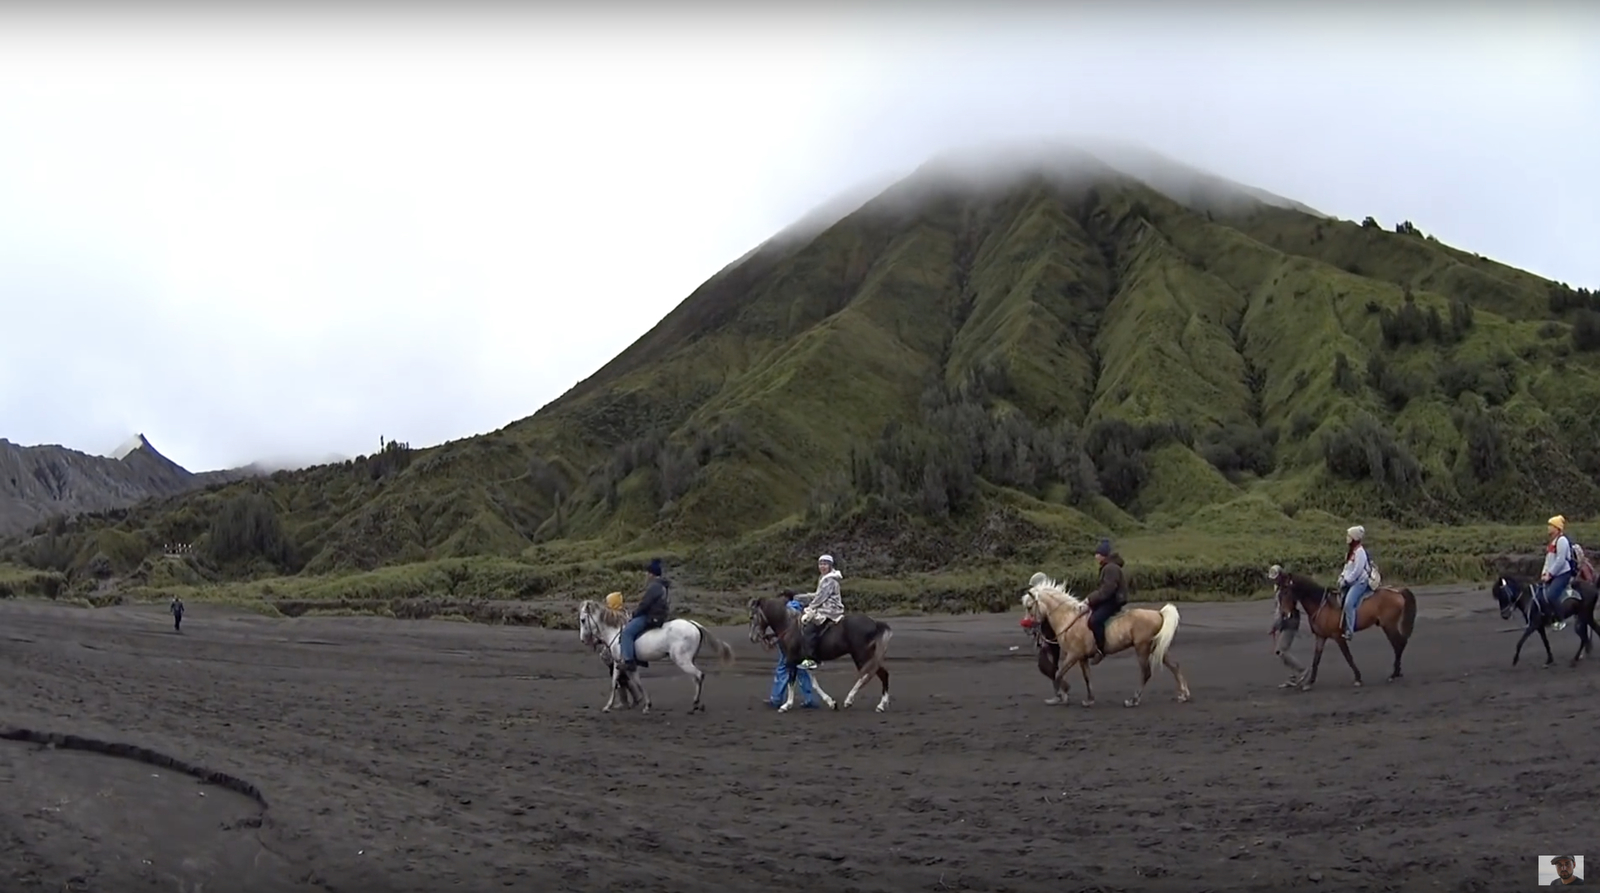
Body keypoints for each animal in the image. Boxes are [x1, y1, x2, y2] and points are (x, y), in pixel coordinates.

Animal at [576, 598, 736, 716]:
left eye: (583, 620)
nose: (583, 640)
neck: (616, 632)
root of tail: (693, 624)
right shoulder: (627, 664)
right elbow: (635, 682)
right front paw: (646, 704)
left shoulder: (619, 662)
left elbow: (615, 682)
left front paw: (608, 706)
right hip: (689, 660)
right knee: (696, 678)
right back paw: (697, 704)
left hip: (682, 660)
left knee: (699, 675)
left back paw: (695, 705)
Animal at [745, 595, 896, 713]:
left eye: (752, 616)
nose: (752, 637)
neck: (789, 626)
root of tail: (874, 623)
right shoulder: (803, 662)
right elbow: (813, 683)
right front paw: (831, 702)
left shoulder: (791, 660)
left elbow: (791, 682)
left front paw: (786, 705)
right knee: (881, 673)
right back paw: (879, 704)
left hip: (861, 656)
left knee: (872, 675)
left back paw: (854, 701)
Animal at [1024, 576, 1190, 710]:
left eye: (1029, 606)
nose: (1027, 628)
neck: (1069, 619)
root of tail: (1158, 613)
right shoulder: (1082, 658)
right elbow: (1087, 677)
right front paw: (1089, 700)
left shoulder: (1073, 655)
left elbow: (1058, 674)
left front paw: (1063, 694)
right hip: (1157, 648)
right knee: (1174, 666)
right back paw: (1184, 695)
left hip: (1142, 648)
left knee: (1146, 673)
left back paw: (1133, 700)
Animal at [1267, 569, 1420, 688]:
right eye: (1279, 593)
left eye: (1286, 591)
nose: (1284, 614)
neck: (1322, 606)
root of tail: (1397, 591)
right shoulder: (1321, 637)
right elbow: (1316, 659)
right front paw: (1309, 682)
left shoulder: (1338, 636)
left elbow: (1348, 657)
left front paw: (1358, 678)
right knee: (1399, 644)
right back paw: (1397, 672)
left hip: (1389, 626)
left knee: (1399, 644)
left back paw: (1394, 674)